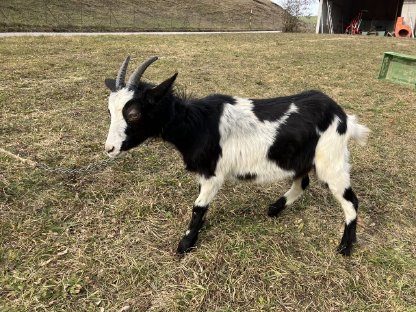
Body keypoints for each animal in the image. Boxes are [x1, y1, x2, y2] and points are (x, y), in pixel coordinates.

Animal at [104, 56, 370, 256]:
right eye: (109, 110)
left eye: (134, 113)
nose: (110, 148)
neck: (197, 124)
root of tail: (343, 117)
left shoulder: (213, 174)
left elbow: (198, 207)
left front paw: (185, 245)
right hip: (301, 157)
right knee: (302, 182)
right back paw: (274, 209)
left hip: (331, 159)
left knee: (350, 200)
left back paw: (345, 247)